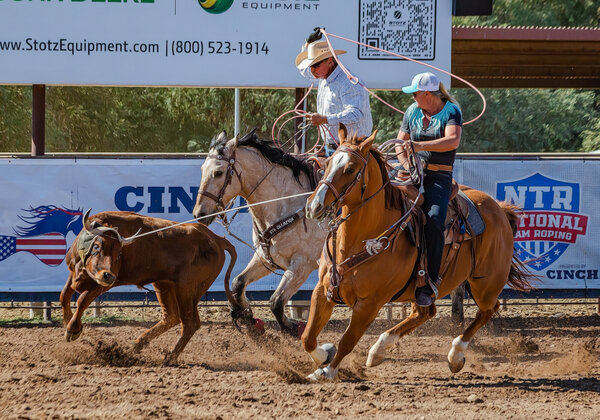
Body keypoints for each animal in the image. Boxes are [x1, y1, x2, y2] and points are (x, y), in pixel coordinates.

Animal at [193, 130, 328, 336]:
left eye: (218, 172)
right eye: (201, 170)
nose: (199, 214)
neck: (287, 202)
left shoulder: (302, 264)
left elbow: (276, 302)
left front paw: (294, 327)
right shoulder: (266, 257)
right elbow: (238, 283)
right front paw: (247, 316)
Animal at [302, 124, 532, 380]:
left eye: (350, 169)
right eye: (328, 162)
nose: (313, 206)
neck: (357, 241)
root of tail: (499, 208)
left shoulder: (369, 305)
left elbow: (347, 341)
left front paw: (328, 371)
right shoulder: (323, 290)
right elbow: (307, 337)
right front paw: (324, 356)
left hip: (485, 284)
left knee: (488, 310)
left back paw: (455, 355)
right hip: (424, 288)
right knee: (426, 312)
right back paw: (379, 350)